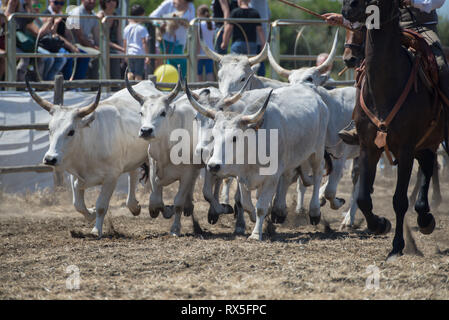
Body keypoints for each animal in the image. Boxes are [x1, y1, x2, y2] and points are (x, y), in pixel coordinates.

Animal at [26, 75, 152, 238]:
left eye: (71, 131)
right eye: (49, 129)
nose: (50, 158)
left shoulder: (111, 177)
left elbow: (101, 206)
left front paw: (96, 230)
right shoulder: (75, 176)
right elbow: (78, 205)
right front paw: (91, 213)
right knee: (133, 174)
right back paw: (134, 206)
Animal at [340, 0, 444, 260]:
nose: (348, 7)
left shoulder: (405, 150)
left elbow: (399, 200)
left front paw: (397, 246)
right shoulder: (368, 147)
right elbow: (363, 197)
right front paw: (379, 224)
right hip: (426, 142)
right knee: (428, 164)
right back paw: (425, 217)